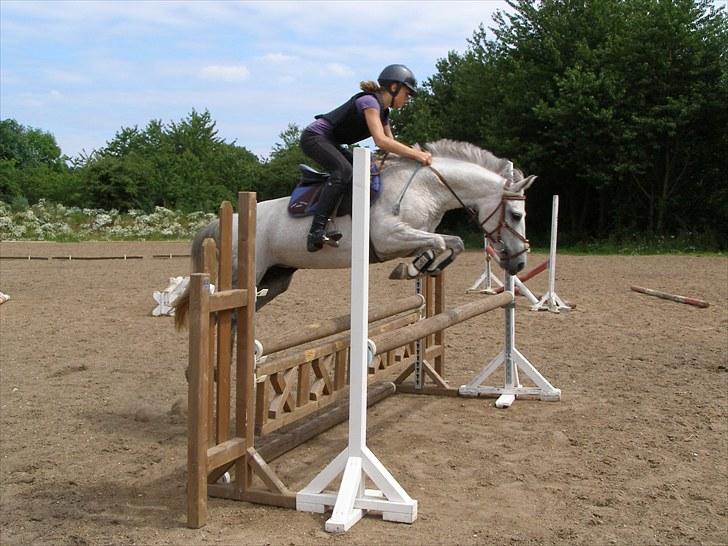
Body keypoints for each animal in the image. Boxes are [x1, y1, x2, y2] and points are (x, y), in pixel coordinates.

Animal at [174, 139, 536, 328]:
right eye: (516, 215)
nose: (518, 264)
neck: (426, 187)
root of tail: (225, 221)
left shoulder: (412, 235)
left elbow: (447, 244)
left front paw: (417, 267)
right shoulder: (389, 237)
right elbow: (445, 242)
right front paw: (412, 268)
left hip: (275, 279)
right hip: (243, 275)